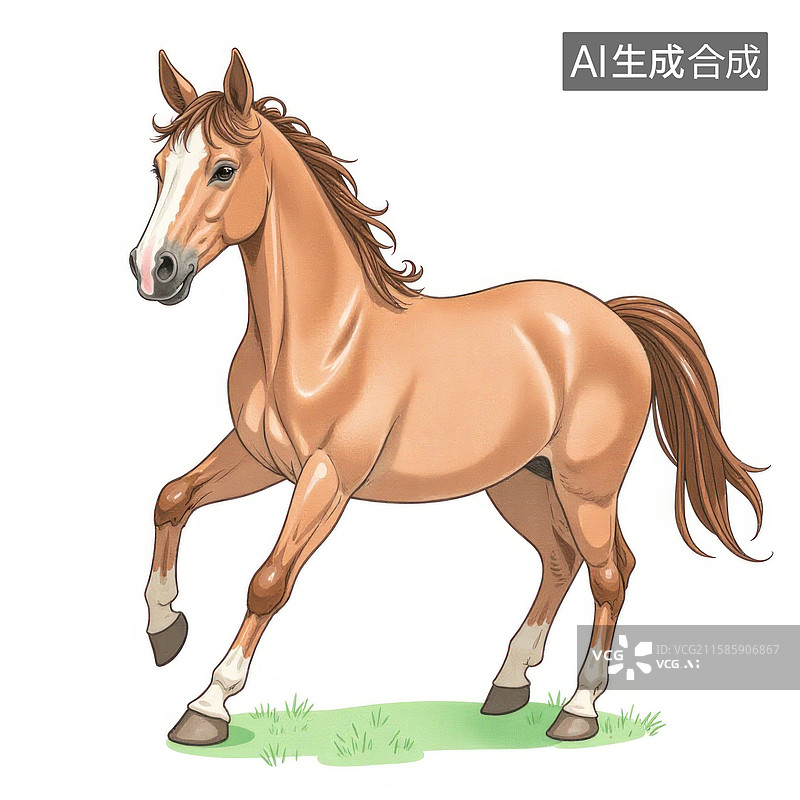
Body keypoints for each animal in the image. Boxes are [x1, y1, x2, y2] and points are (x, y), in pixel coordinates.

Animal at [130, 49, 764, 747]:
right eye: (159, 168)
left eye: (223, 169)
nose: (153, 269)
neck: (323, 337)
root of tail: (615, 320)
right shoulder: (260, 460)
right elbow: (172, 498)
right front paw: (165, 631)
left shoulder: (329, 477)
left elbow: (267, 581)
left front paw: (207, 706)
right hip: (523, 480)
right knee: (561, 559)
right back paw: (508, 686)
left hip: (588, 486)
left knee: (610, 572)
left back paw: (577, 710)